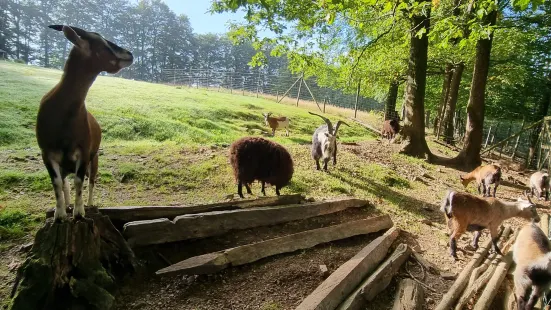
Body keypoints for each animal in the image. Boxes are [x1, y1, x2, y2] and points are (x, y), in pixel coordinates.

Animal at [36, 26, 134, 220]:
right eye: (103, 44)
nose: (130, 54)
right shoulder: (46, 153)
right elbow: (57, 183)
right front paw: (60, 214)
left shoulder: (84, 151)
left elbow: (79, 181)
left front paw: (79, 212)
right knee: (65, 182)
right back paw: (67, 205)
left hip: (94, 159)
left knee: (91, 180)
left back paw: (89, 204)